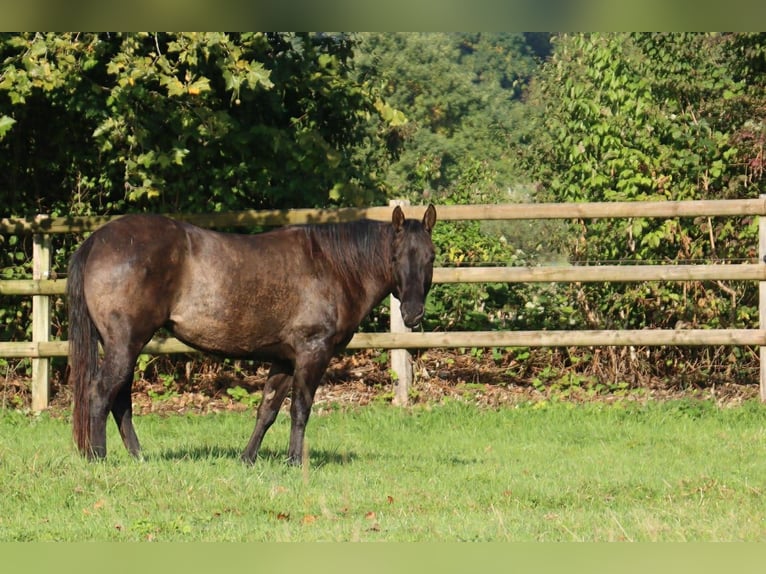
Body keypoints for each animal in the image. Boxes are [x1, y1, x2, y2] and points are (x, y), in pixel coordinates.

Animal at [67, 204, 437, 465]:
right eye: (395, 256)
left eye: (430, 257)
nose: (412, 313)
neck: (333, 266)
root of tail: (96, 240)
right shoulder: (312, 353)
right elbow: (300, 408)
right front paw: (293, 461)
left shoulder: (284, 359)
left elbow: (267, 410)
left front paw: (248, 458)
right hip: (125, 343)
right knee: (101, 393)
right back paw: (98, 458)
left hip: (124, 346)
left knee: (120, 400)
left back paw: (138, 457)